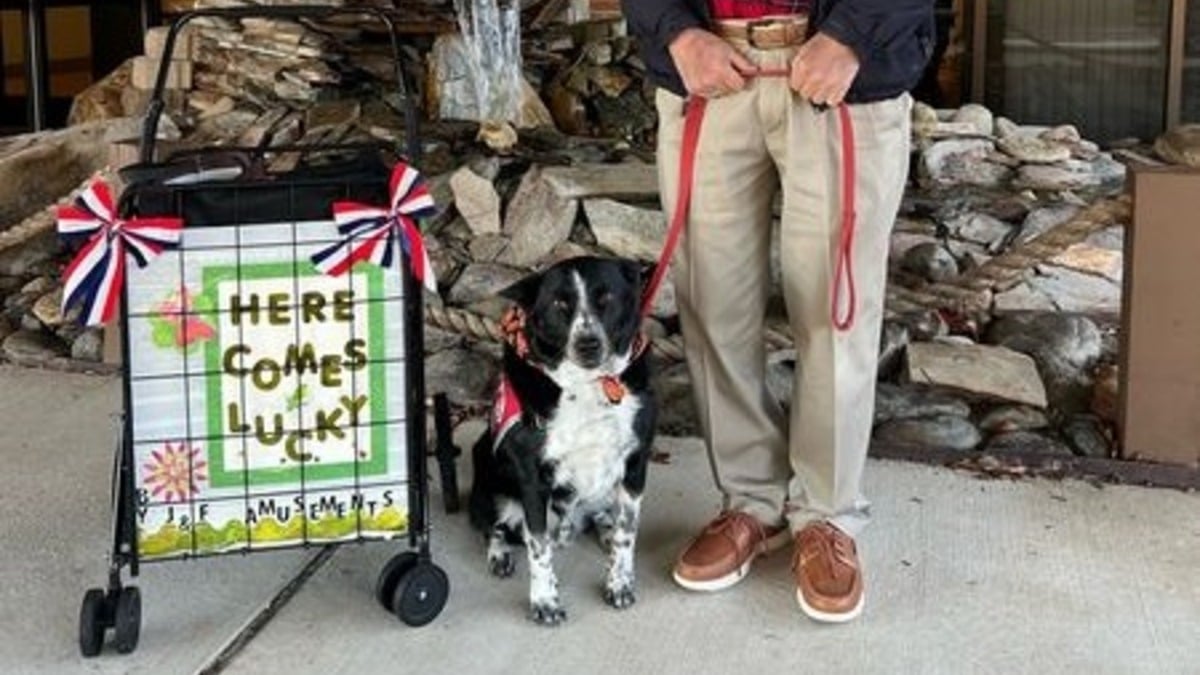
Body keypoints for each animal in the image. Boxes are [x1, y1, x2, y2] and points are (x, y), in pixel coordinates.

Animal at [468, 254, 657, 624]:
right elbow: (538, 547)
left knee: (601, 516)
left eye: (606, 298)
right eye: (559, 304)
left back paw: (603, 528)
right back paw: (500, 554)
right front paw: (544, 601)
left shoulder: (636, 463)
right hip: (488, 483)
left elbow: (627, 533)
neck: (588, 384)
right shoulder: (532, 478)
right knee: (493, 528)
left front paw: (619, 583)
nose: (588, 343)